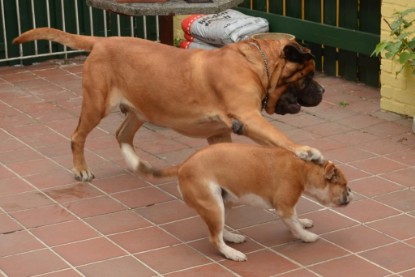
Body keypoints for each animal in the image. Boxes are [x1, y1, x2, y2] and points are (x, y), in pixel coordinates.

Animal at [13, 27, 324, 180]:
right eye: (308, 76)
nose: (321, 90)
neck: (256, 65)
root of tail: (101, 41)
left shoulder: (221, 132)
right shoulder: (249, 117)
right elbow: (280, 137)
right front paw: (305, 150)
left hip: (139, 109)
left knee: (122, 133)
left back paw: (136, 162)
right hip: (96, 104)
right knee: (77, 136)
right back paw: (81, 169)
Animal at [122, 142, 352, 260]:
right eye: (344, 184)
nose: (351, 192)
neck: (304, 169)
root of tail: (183, 165)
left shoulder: (288, 207)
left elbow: (296, 218)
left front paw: (303, 223)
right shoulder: (284, 207)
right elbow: (293, 224)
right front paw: (306, 236)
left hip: (225, 202)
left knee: (219, 230)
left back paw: (232, 238)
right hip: (213, 204)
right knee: (214, 238)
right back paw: (232, 254)